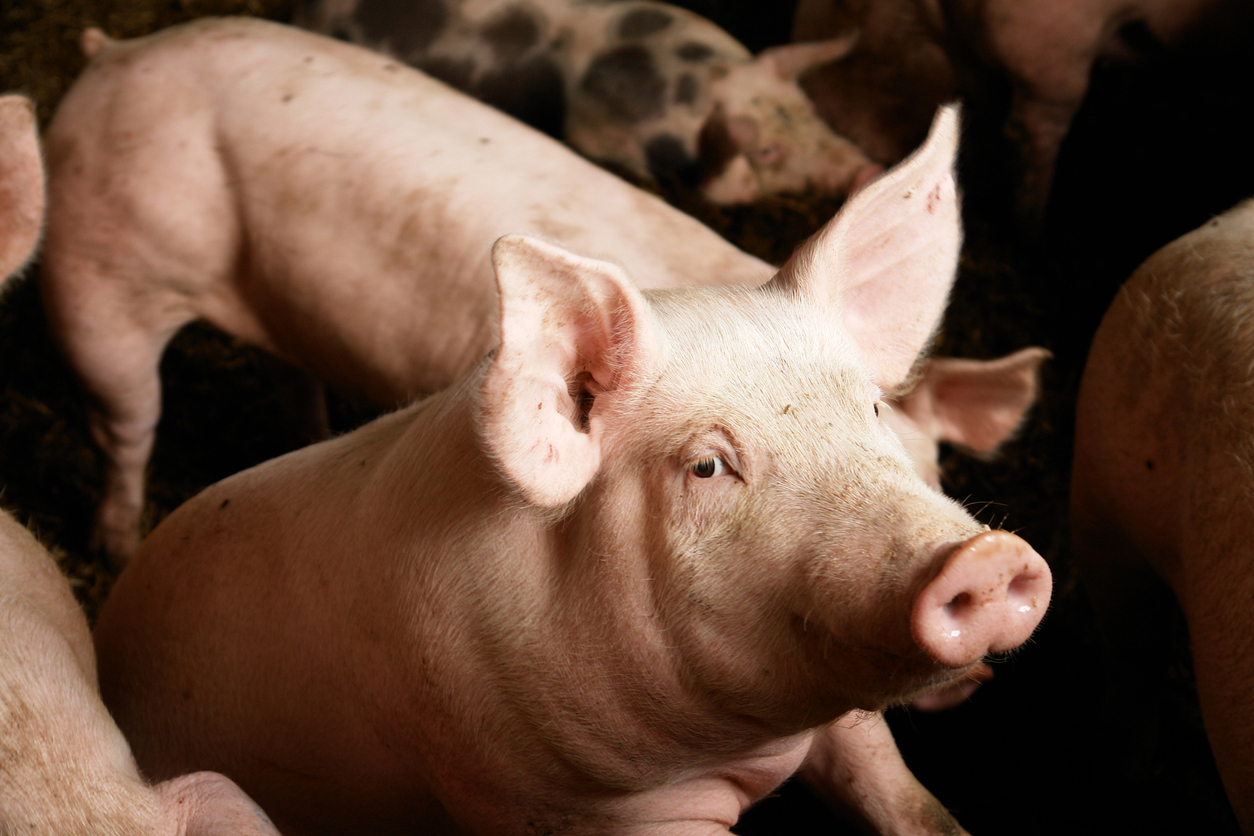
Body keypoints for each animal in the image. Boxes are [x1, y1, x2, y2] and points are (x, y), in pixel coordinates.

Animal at [92, 99, 1053, 836]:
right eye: (707, 466)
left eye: (873, 411)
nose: (983, 558)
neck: (749, 748)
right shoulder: (577, 806)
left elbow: (906, 800)